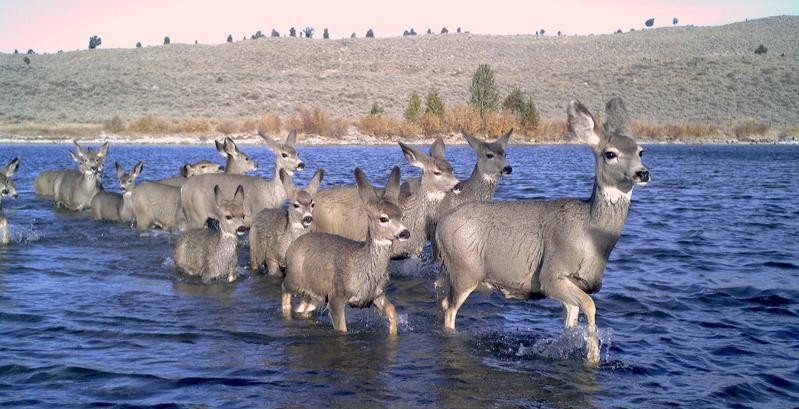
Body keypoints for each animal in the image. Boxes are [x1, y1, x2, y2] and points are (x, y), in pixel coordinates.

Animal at [282, 167, 412, 334]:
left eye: (402, 216)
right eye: (383, 218)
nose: (405, 233)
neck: (362, 268)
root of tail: (294, 243)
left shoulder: (375, 295)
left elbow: (392, 311)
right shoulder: (335, 296)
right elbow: (342, 329)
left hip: (315, 293)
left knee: (302, 308)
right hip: (294, 279)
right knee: (284, 292)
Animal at [438, 99, 648, 366]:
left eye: (641, 151)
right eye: (610, 153)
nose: (642, 173)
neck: (592, 236)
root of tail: (441, 225)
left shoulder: (573, 282)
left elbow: (571, 322)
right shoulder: (551, 273)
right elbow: (590, 305)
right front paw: (593, 357)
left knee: (443, 301)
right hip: (465, 271)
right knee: (450, 310)